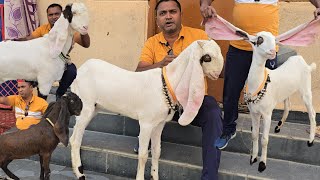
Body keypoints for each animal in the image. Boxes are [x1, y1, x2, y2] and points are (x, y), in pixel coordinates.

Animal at [70, 39, 225, 180]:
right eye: (207, 57)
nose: (218, 74)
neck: (167, 83)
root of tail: (81, 70)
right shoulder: (146, 123)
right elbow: (143, 154)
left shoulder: (159, 124)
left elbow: (157, 152)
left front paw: (154, 176)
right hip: (85, 107)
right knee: (76, 140)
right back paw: (80, 174)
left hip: (93, 108)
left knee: (73, 138)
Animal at [206, 16, 318, 172]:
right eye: (259, 39)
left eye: (275, 40)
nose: (272, 51)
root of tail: (305, 64)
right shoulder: (254, 112)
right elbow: (254, 135)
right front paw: (253, 158)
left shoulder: (267, 113)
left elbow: (264, 139)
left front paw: (262, 164)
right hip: (288, 92)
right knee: (288, 105)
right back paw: (278, 127)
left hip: (305, 90)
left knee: (311, 112)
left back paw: (311, 140)